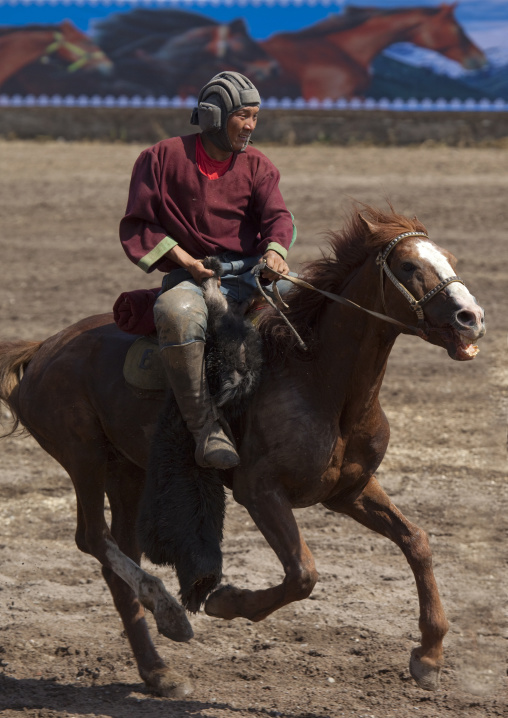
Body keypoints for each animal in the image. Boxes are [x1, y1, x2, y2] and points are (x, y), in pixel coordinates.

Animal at [0, 206, 485, 698]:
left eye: (449, 258)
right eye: (408, 266)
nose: (471, 317)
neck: (321, 383)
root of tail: (41, 349)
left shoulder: (349, 490)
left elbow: (416, 541)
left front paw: (429, 655)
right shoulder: (259, 491)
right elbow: (302, 573)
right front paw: (226, 601)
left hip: (129, 473)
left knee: (119, 559)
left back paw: (158, 671)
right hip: (84, 458)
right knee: (93, 538)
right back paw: (171, 613)